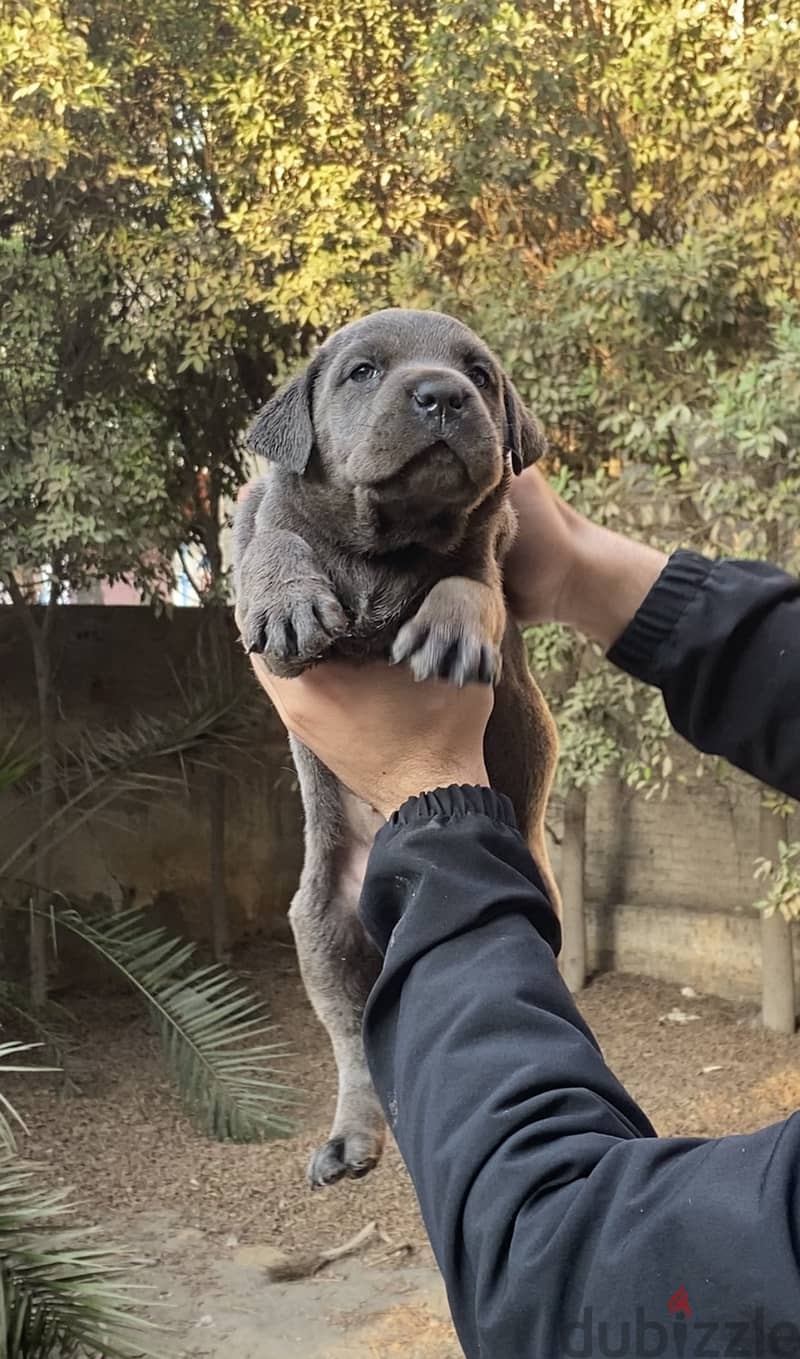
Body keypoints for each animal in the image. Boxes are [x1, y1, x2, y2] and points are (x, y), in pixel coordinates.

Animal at [230, 311, 559, 1190]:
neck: (386, 545)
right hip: (319, 929)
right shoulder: (256, 510)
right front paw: (285, 600)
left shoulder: (498, 544)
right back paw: (351, 1136)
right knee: (352, 1047)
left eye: (480, 374)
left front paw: (448, 622)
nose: (441, 394)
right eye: (362, 372)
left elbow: (471, 581)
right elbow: (272, 539)